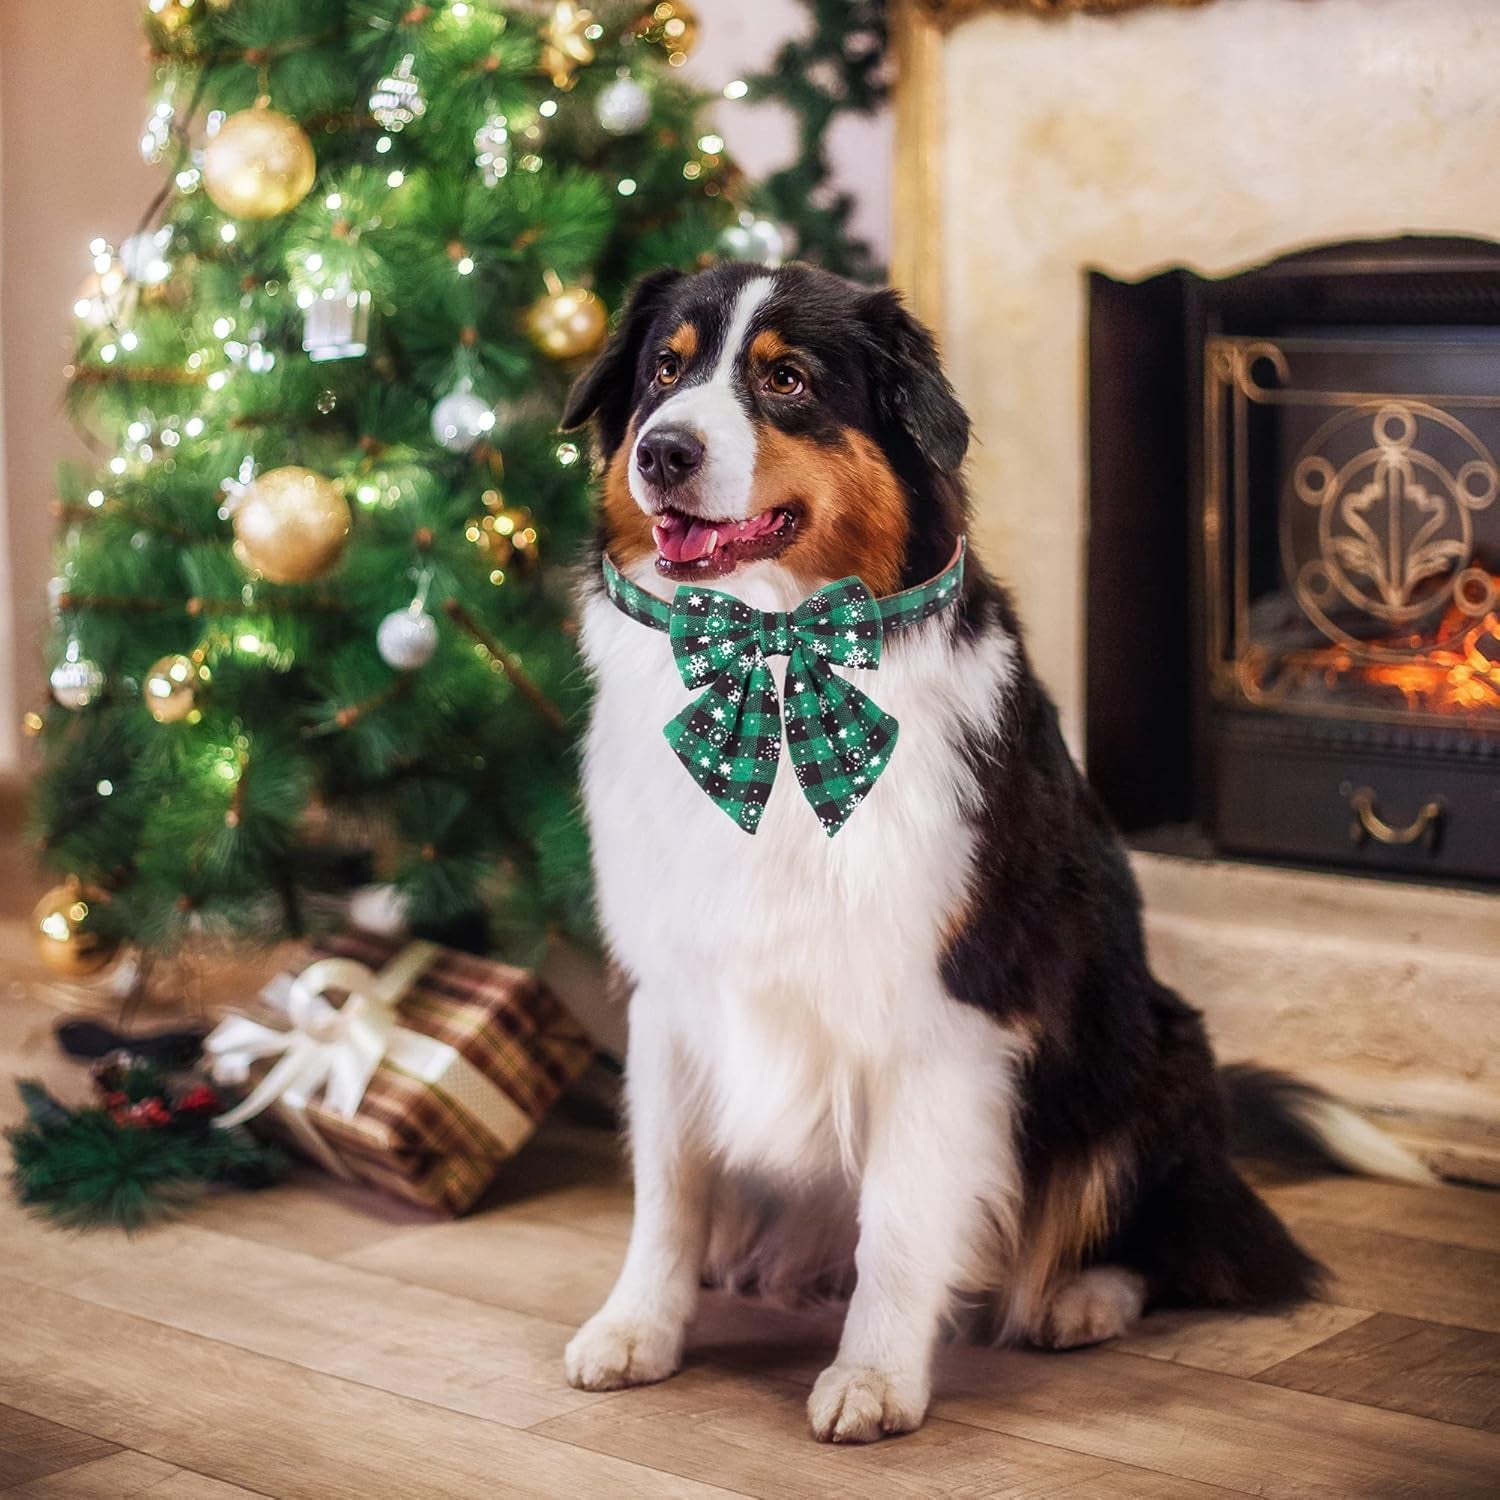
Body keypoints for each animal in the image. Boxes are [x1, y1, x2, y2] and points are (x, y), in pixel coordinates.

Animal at [555, 267, 1428, 1440]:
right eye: (663, 370)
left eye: (787, 380)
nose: (663, 452)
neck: (773, 666)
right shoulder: (670, 986)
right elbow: (668, 1187)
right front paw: (638, 1328)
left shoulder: (951, 1005)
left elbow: (901, 1218)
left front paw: (875, 1378)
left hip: (1146, 1051)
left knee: (1182, 1243)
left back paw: (1079, 1298)